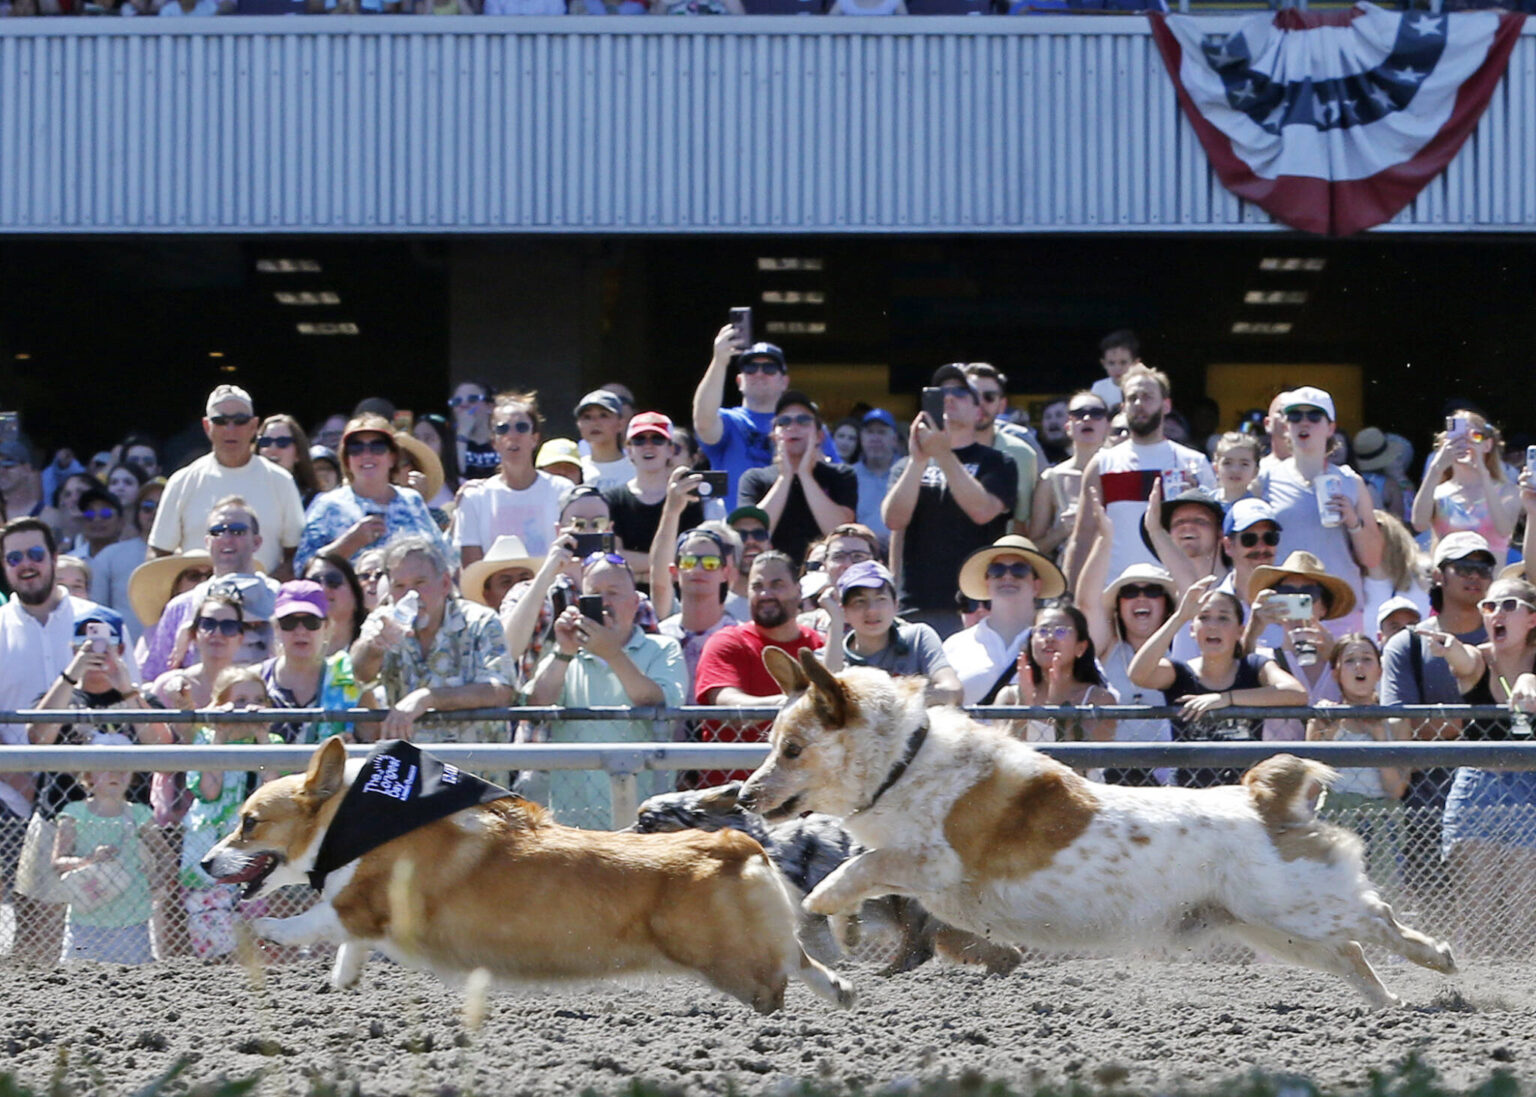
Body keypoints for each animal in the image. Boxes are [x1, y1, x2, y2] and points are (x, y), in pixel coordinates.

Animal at [201, 731, 854, 1014]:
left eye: (248, 823)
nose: (206, 861)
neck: (354, 818)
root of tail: (735, 845)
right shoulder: (361, 918)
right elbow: (345, 949)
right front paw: (340, 985)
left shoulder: (363, 904)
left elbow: (316, 920)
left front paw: (264, 931)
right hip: (753, 940)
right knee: (802, 958)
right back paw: (840, 993)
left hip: (729, 961)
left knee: (776, 982)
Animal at [737, 645, 1456, 1001]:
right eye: (773, 741)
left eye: (792, 748)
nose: (743, 794)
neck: (905, 760)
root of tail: (1264, 801)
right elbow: (862, 883)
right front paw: (847, 926)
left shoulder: (932, 864)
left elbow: (853, 871)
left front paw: (832, 912)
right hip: (1273, 928)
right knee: (1352, 952)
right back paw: (1387, 1008)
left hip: (1295, 907)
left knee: (1376, 920)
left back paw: (1438, 957)